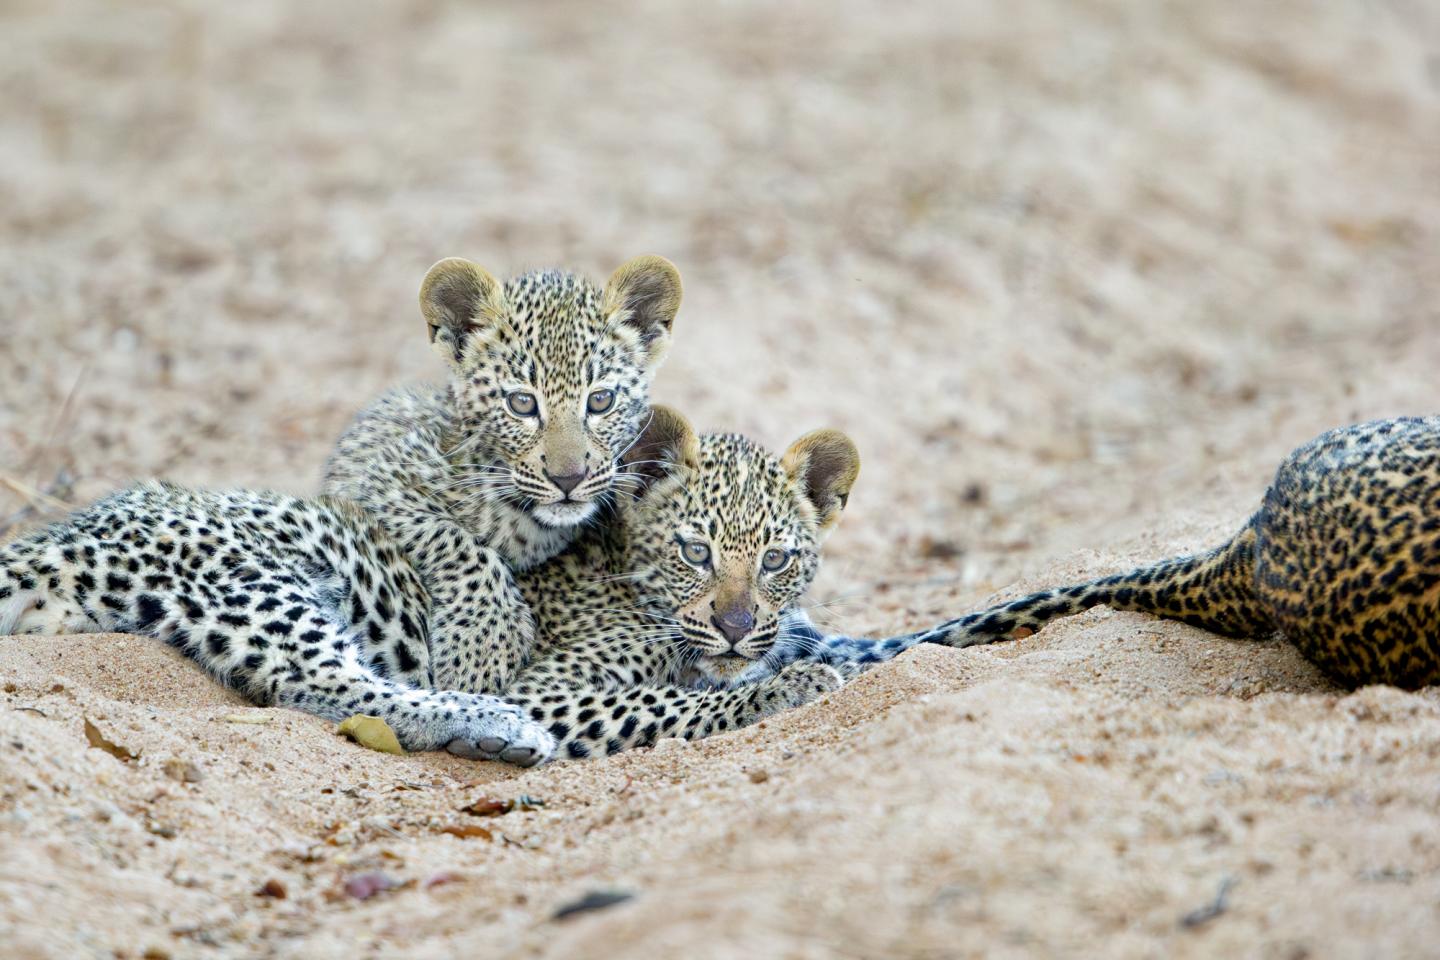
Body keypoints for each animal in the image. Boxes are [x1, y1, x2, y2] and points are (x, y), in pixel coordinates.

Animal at [0, 255, 683, 767]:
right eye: (521, 404)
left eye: (601, 401)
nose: (569, 478)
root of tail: (56, 542)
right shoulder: (370, 467)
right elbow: (453, 541)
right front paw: (483, 645)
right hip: (245, 578)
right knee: (338, 685)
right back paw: (495, 722)